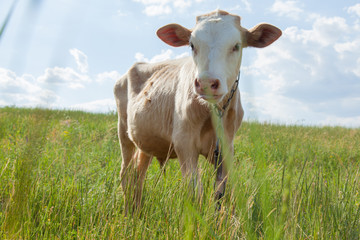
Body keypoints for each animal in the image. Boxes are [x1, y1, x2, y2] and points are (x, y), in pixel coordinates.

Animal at [114, 9, 282, 213]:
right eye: (192, 45)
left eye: (236, 46)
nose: (206, 83)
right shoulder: (184, 143)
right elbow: (196, 194)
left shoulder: (227, 146)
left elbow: (225, 192)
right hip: (124, 133)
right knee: (126, 174)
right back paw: (128, 213)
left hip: (145, 141)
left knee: (139, 174)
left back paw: (137, 211)